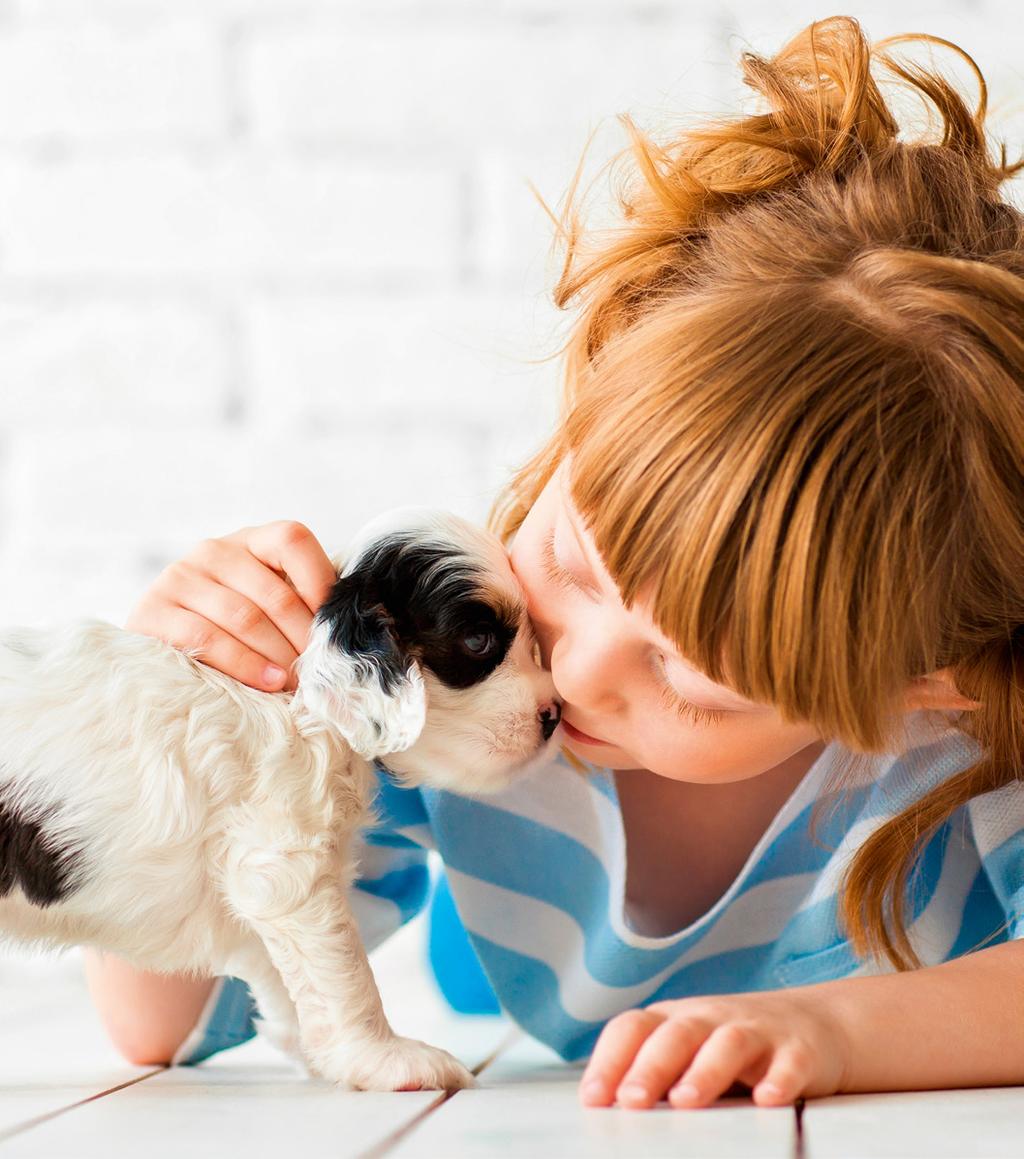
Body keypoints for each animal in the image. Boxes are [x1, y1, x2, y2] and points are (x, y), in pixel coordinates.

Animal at [0, 507, 560, 1084]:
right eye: (478, 641)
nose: (555, 715)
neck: (304, 698)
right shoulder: (288, 867)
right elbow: (344, 971)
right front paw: (385, 1058)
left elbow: (284, 973)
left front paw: (322, 1052)